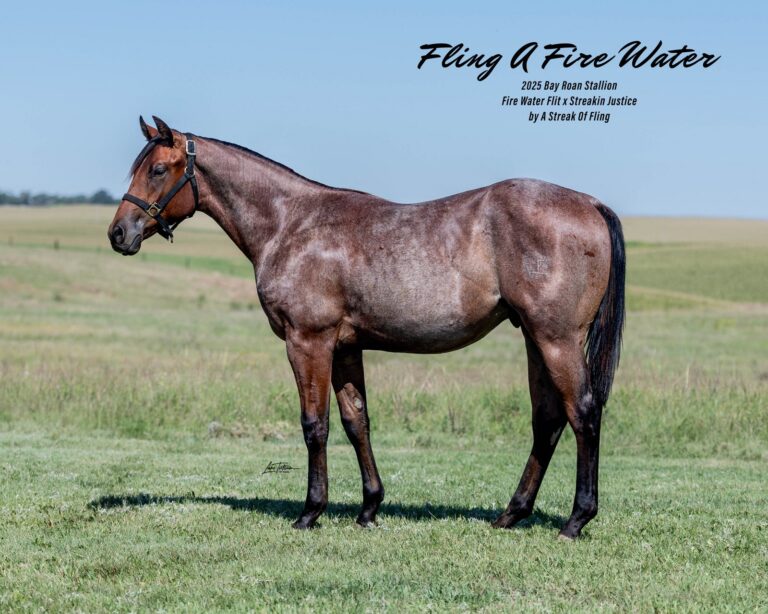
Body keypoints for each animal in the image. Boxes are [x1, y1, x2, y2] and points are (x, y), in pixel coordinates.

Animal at [108, 116, 625, 539]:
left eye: (158, 170)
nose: (118, 233)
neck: (290, 224)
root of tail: (591, 203)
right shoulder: (344, 348)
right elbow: (358, 422)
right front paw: (369, 508)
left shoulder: (308, 341)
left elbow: (314, 425)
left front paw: (310, 511)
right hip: (535, 339)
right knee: (548, 420)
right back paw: (511, 514)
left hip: (556, 339)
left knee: (583, 413)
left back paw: (576, 520)